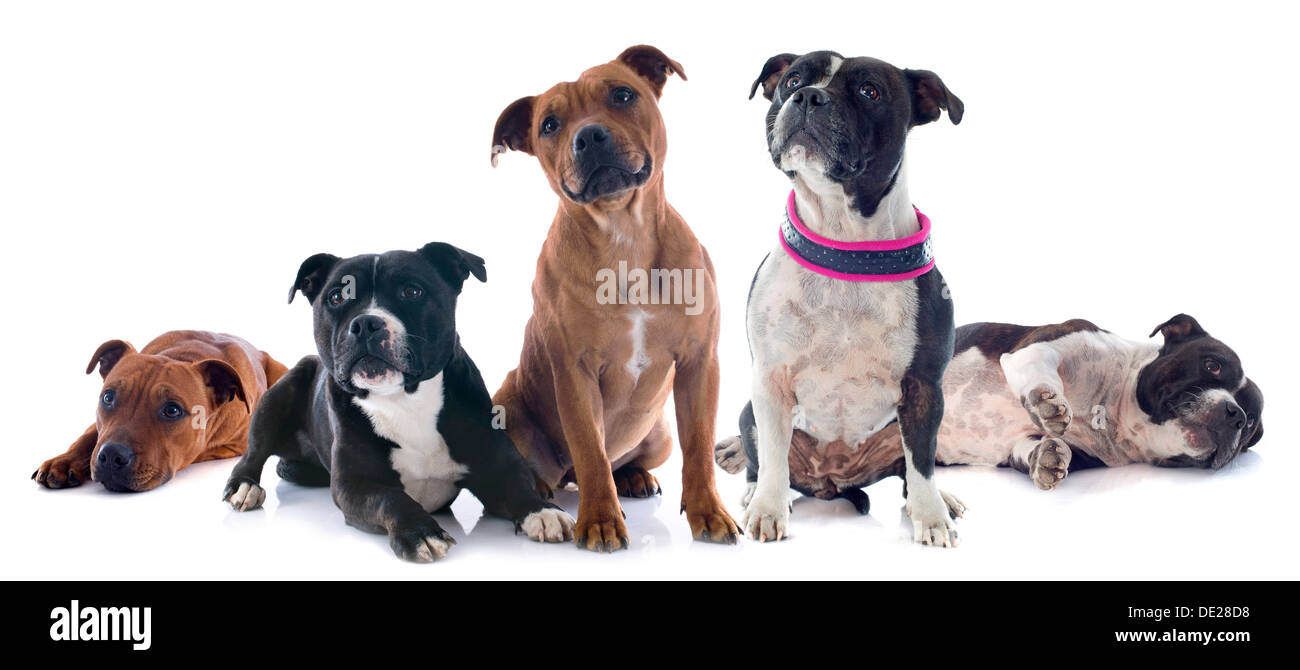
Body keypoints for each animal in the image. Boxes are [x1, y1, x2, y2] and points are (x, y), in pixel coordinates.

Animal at [32, 331, 286, 491]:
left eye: (172, 410)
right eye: (108, 397)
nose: (112, 455)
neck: (183, 355)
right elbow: (88, 437)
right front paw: (64, 461)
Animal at [223, 243, 574, 564]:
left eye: (412, 291)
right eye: (336, 297)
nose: (366, 323)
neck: (405, 398)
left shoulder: (496, 465)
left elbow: (518, 485)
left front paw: (543, 511)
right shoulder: (356, 484)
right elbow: (390, 499)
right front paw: (420, 532)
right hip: (277, 396)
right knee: (252, 454)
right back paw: (244, 487)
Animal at [488, 45, 738, 551]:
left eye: (622, 95)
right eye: (549, 124)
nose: (589, 136)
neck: (624, 236)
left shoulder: (700, 362)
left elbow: (700, 448)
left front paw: (709, 512)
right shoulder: (575, 373)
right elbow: (590, 450)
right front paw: (600, 519)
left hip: (659, 434)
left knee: (630, 459)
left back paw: (634, 477)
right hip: (507, 409)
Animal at [717, 317, 1263, 507]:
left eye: (1255, 426)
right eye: (1213, 365)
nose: (1236, 416)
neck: (1111, 407)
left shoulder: (1014, 445)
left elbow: (1033, 448)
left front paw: (1050, 457)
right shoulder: (1038, 347)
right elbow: (1039, 373)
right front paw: (1046, 400)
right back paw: (733, 456)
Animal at [733, 51, 967, 546]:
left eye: (869, 91)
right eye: (792, 80)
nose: (808, 96)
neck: (844, 247)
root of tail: (833, 479)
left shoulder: (924, 387)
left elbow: (922, 462)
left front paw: (931, 517)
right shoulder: (769, 381)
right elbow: (773, 458)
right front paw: (767, 509)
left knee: (912, 466)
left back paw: (940, 499)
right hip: (748, 412)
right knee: (760, 460)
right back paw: (752, 494)